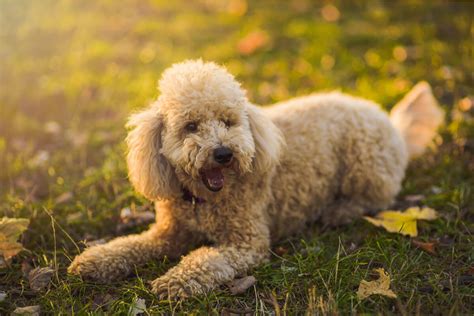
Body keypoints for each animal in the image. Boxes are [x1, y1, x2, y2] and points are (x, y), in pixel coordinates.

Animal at [67, 59, 444, 298]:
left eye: (228, 121)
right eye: (191, 126)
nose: (223, 153)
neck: (203, 200)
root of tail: (391, 123)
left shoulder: (247, 243)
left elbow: (207, 258)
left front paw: (176, 280)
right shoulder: (168, 233)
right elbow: (131, 244)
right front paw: (96, 260)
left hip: (365, 162)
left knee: (377, 198)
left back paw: (339, 211)